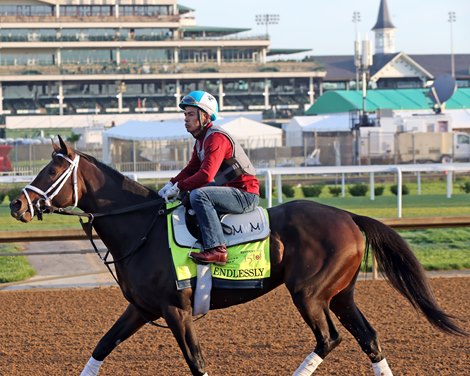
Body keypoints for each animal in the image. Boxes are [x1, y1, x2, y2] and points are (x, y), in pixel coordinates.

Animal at [9, 136, 464, 376]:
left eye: (52, 171)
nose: (17, 205)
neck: (141, 229)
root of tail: (349, 216)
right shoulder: (141, 308)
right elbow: (102, 346)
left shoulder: (176, 311)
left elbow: (196, 362)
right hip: (341, 294)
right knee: (367, 338)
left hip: (309, 293)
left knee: (329, 338)